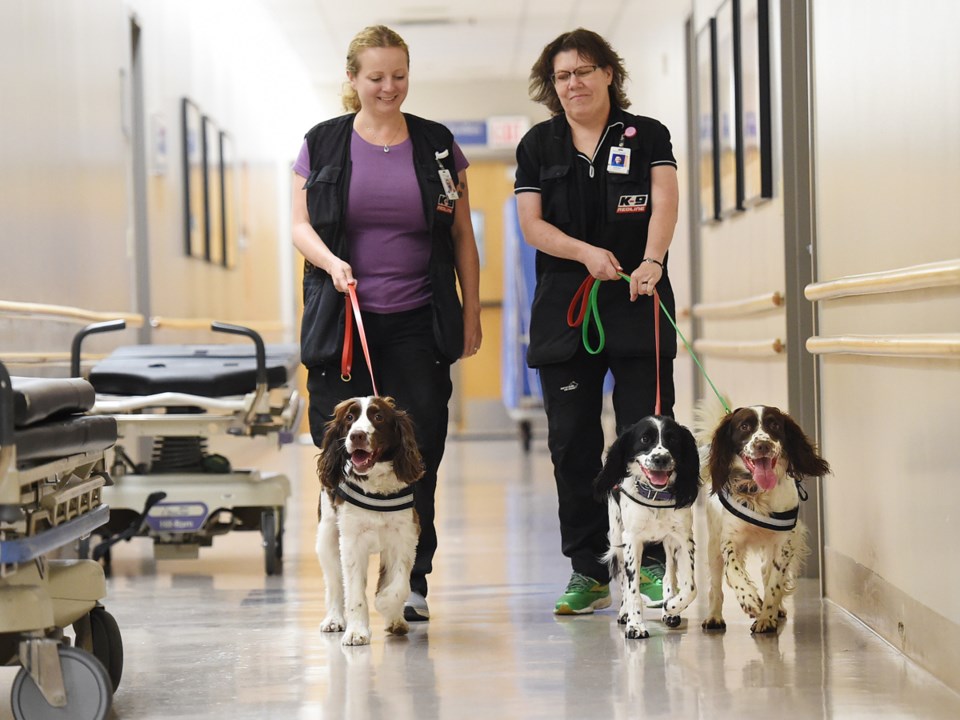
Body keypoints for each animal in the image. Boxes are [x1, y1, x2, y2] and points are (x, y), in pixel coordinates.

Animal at [316, 396, 422, 644]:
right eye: (349, 417)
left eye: (378, 417)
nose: (357, 436)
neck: (376, 487)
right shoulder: (352, 542)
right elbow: (354, 591)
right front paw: (357, 631)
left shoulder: (404, 537)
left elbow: (399, 585)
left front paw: (387, 607)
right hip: (327, 537)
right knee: (334, 583)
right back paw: (334, 619)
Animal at [592, 414, 696, 640]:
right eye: (645, 439)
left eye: (673, 439)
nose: (661, 459)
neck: (655, 496)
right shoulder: (632, 540)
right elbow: (632, 589)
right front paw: (635, 625)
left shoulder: (683, 539)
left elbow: (691, 588)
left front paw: (671, 607)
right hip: (617, 536)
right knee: (624, 580)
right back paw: (624, 612)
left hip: (668, 543)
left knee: (668, 574)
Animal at [692, 402, 828, 632]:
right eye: (744, 426)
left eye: (774, 424)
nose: (763, 445)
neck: (756, 491)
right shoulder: (729, 540)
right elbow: (734, 571)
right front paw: (749, 599)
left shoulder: (784, 541)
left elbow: (774, 581)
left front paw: (766, 617)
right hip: (713, 546)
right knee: (716, 584)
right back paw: (714, 616)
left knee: (766, 572)